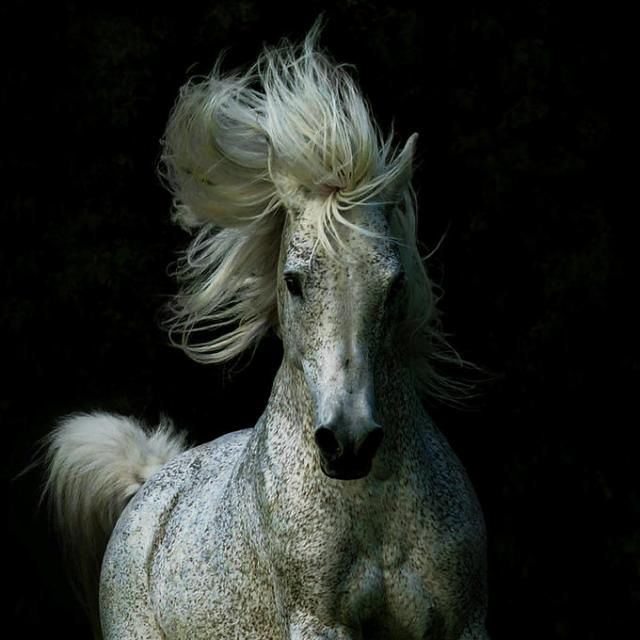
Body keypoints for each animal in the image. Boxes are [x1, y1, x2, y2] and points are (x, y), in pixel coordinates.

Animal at [44, 26, 489, 640]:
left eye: (395, 281)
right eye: (294, 281)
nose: (348, 443)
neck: (371, 504)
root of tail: (152, 485)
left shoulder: (465, 624)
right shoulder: (318, 625)